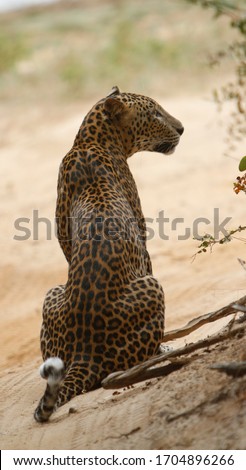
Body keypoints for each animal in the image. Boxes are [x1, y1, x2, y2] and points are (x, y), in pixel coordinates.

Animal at [34, 87, 183, 422]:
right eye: (154, 113)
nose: (181, 128)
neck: (89, 140)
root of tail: (85, 351)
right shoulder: (141, 238)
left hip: (51, 294)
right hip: (153, 286)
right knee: (141, 354)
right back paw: (163, 351)